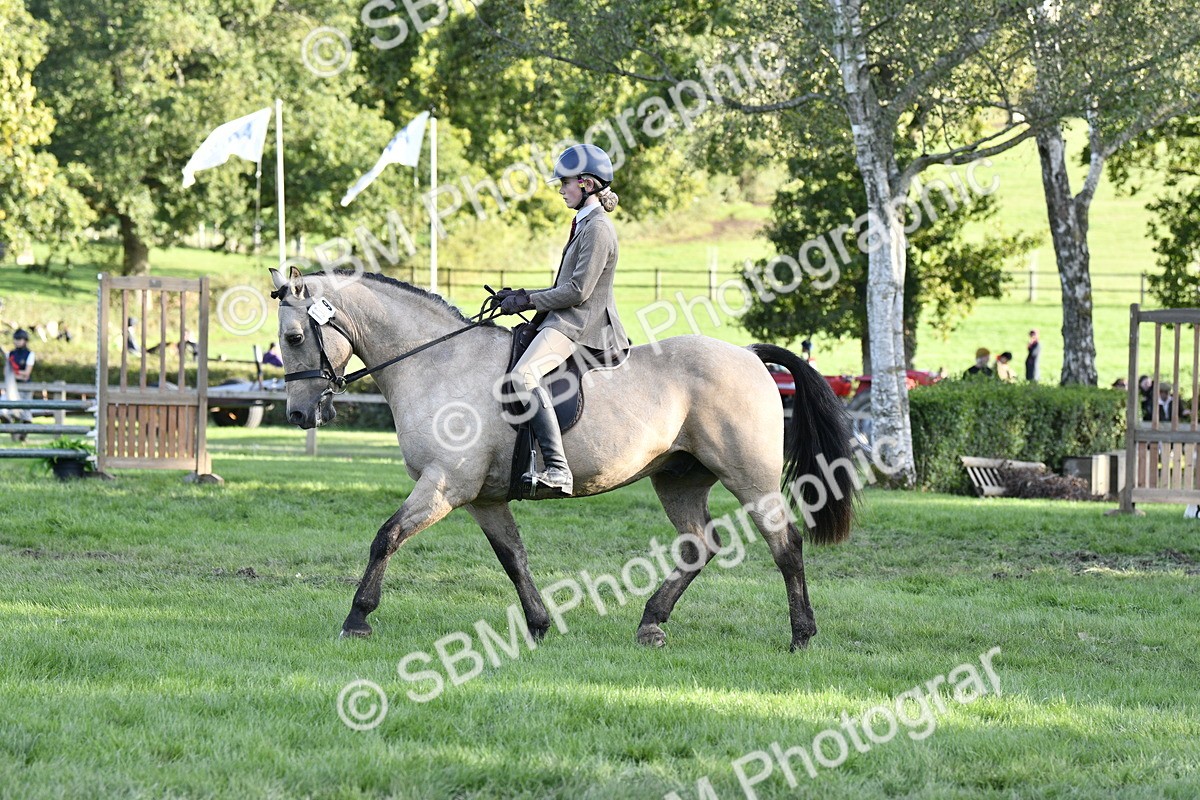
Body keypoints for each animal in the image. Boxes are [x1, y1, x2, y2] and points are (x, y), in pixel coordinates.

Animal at [270, 267, 858, 651]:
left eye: (295, 336)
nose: (298, 413)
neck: (439, 363)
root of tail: (750, 355)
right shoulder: (482, 498)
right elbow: (513, 558)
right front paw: (538, 624)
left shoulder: (444, 485)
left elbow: (386, 536)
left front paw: (357, 619)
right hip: (679, 479)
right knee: (699, 546)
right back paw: (651, 623)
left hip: (749, 478)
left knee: (785, 544)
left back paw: (801, 635)